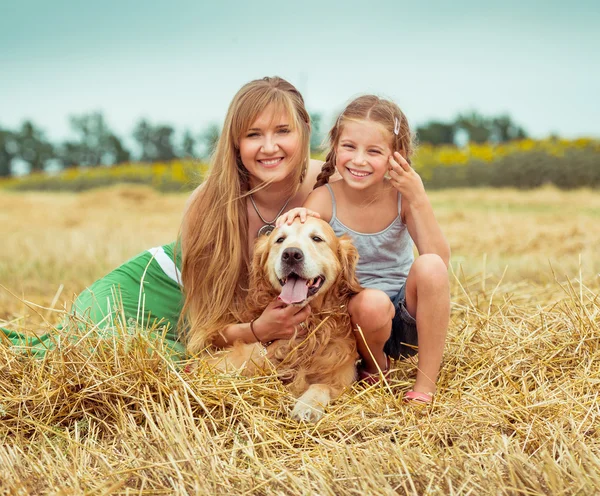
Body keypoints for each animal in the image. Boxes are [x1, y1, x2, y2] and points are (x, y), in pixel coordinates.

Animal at [206, 218, 360, 422]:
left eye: (317, 238)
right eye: (280, 240)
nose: (292, 254)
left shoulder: (341, 377)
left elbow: (320, 386)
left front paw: (307, 406)